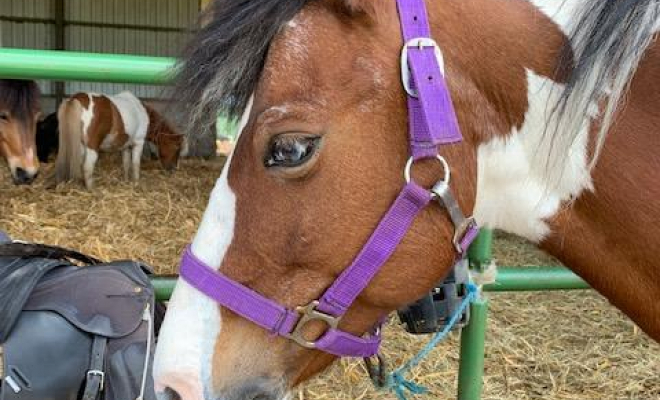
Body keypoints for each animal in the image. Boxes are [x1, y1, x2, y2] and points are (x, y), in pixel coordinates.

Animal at [52, 92, 183, 189]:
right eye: (177, 148)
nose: (173, 169)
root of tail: (75, 99)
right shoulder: (138, 143)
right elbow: (135, 164)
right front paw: (136, 182)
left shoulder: (125, 146)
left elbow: (126, 164)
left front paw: (126, 181)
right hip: (92, 148)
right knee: (87, 168)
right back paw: (91, 190)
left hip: (80, 147)